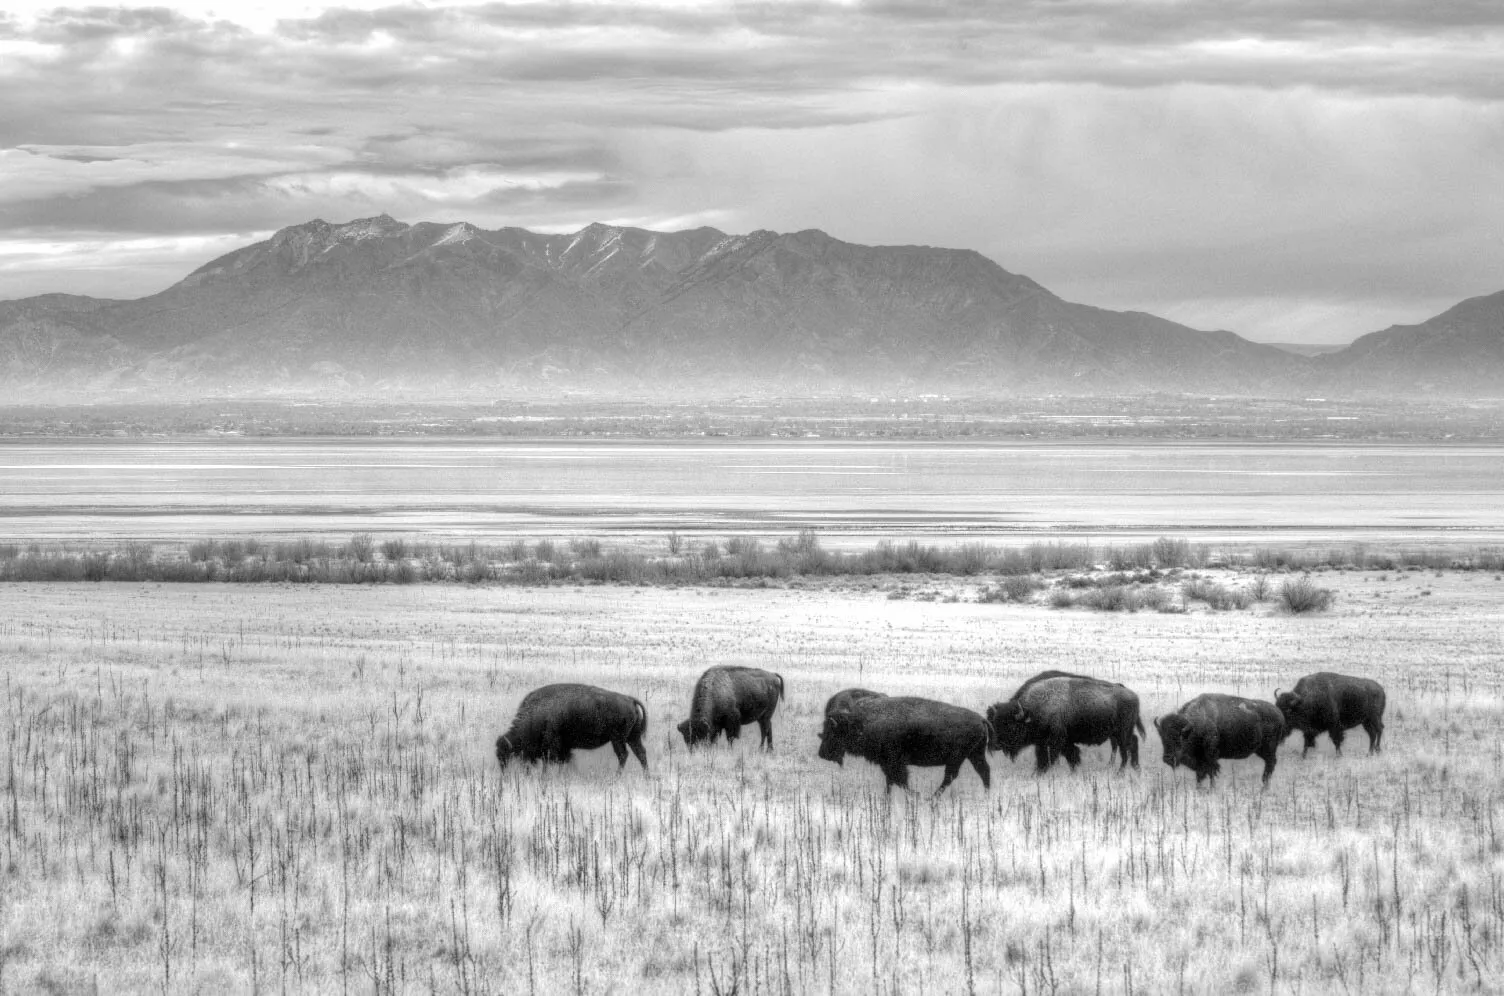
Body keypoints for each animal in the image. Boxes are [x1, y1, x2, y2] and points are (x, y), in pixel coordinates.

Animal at [495, 683, 649, 773]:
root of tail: (630, 699)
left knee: (623, 755)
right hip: (632, 737)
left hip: (618, 739)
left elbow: (551, 762)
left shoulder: (553, 746)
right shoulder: (564, 748)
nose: (504, 774)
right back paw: (646, 777)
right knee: (640, 753)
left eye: (507, 754)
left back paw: (617, 777)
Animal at [818, 695, 991, 795]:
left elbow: (900, 780)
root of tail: (981, 719)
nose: (822, 754)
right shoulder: (887, 763)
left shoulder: (894, 762)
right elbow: (891, 781)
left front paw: (915, 795)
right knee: (983, 771)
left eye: (832, 733)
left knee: (951, 777)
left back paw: (931, 798)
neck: (860, 722)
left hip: (958, 758)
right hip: (974, 754)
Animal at [986, 673, 1143, 772]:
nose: (995, 745)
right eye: (994, 723)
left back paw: (1120, 773)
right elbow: (1055, 759)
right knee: (1131, 745)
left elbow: (1055, 758)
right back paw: (1134, 769)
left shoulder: (1056, 742)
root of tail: (1133, 695)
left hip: (1122, 733)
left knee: (1125, 751)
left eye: (1011, 726)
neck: (1033, 709)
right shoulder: (1045, 743)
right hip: (1120, 734)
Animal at [1155, 693, 1284, 786]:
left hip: (1269, 748)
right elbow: (1200, 776)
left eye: (1180, 737)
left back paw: (1265, 785)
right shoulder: (1200, 760)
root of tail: (1279, 713)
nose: (1168, 758)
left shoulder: (1210, 757)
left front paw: (1212, 789)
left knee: (1271, 763)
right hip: (1261, 750)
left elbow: (1211, 773)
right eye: (1162, 737)